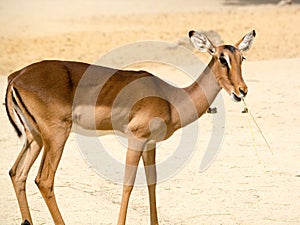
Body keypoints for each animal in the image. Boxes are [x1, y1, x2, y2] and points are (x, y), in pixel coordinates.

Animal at [4, 30, 255, 225]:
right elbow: (128, 184)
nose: (241, 90)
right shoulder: (136, 138)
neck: (171, 98)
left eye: (241, 57)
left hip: (34, 138)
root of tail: (16, 76)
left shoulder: (150, 143)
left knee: (17, 173)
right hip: (56, 136)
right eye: (222, 58)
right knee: (44, 180)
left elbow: (152, 182)